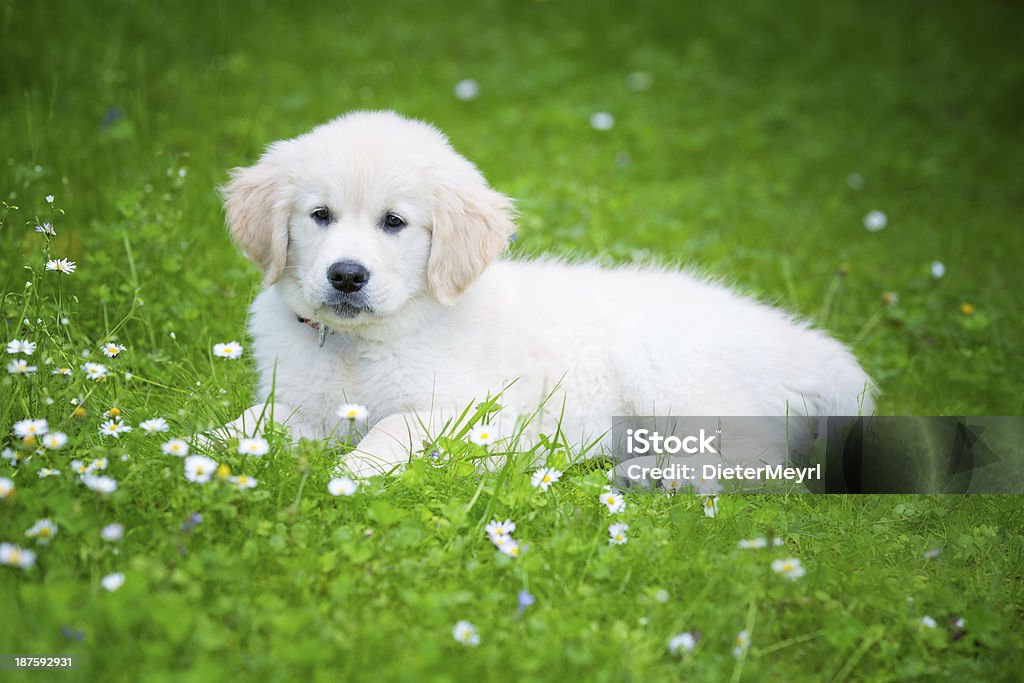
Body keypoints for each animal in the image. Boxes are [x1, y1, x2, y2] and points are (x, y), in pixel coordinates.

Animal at [222, 111, 872, 475]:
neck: (358, 345)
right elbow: (251, 419)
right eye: (320, 216)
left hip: (673, 377)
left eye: (395, 223)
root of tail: (806, 346)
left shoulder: (473, 412)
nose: (347, 276)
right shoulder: (299, 401)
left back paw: (658, 475)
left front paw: (350, 472)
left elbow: (393, 428)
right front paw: (206, 446)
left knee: (758, 456)